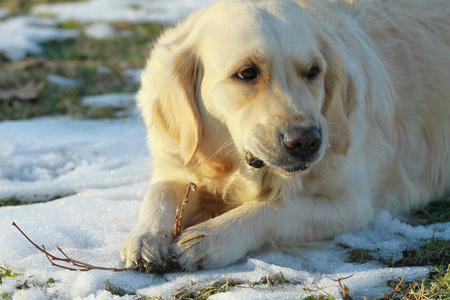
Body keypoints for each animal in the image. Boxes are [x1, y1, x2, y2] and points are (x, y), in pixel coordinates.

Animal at [120, 0, 450, 272]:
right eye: (246, 73)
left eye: (314, 71)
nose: (307, 141)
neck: (234, 168)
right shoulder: (176, 161)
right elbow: (160, 192)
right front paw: (145, 237)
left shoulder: (353, 204)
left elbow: (277, 208)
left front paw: (209, 238)